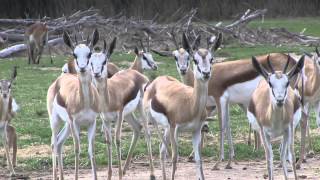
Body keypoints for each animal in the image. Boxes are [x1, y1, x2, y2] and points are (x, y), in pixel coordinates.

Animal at [46, 28, 100, 179]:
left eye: (89, 53)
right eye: (74, 54)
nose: (82, 68)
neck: (85, 102)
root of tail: (58, 81)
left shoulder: (92, 122)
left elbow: (91, 150)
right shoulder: (75, 122)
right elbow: (77, 149)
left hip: (67, 125)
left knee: (59, 143)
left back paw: (61, 176)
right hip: (56, 121)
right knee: (53, 143)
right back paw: (55, 176)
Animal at [90, 38, 155, 179]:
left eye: (104, 61)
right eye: (91, 62)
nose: (96, 74)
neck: (109, 97)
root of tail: (137, 74)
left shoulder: (119, 116)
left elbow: (118, 140)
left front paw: (119, 174)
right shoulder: (105, 119)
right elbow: (109, 141)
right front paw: (109, 175)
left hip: (139, 108)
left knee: (147, 132)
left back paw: (152, 174)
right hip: (128, 114)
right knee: (137, 127)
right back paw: (125, 170)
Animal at [143, 32, 220, 180]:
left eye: (211, 59)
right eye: (195, 60)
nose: (206, 73)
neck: (191, 105)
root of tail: (156, 80)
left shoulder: (196, 130)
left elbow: (198, 159)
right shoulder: (175, 128)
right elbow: (174, 158)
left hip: (167, 129)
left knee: (161, 150)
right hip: (152, 123)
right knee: (153, 142)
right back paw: (152, 174)